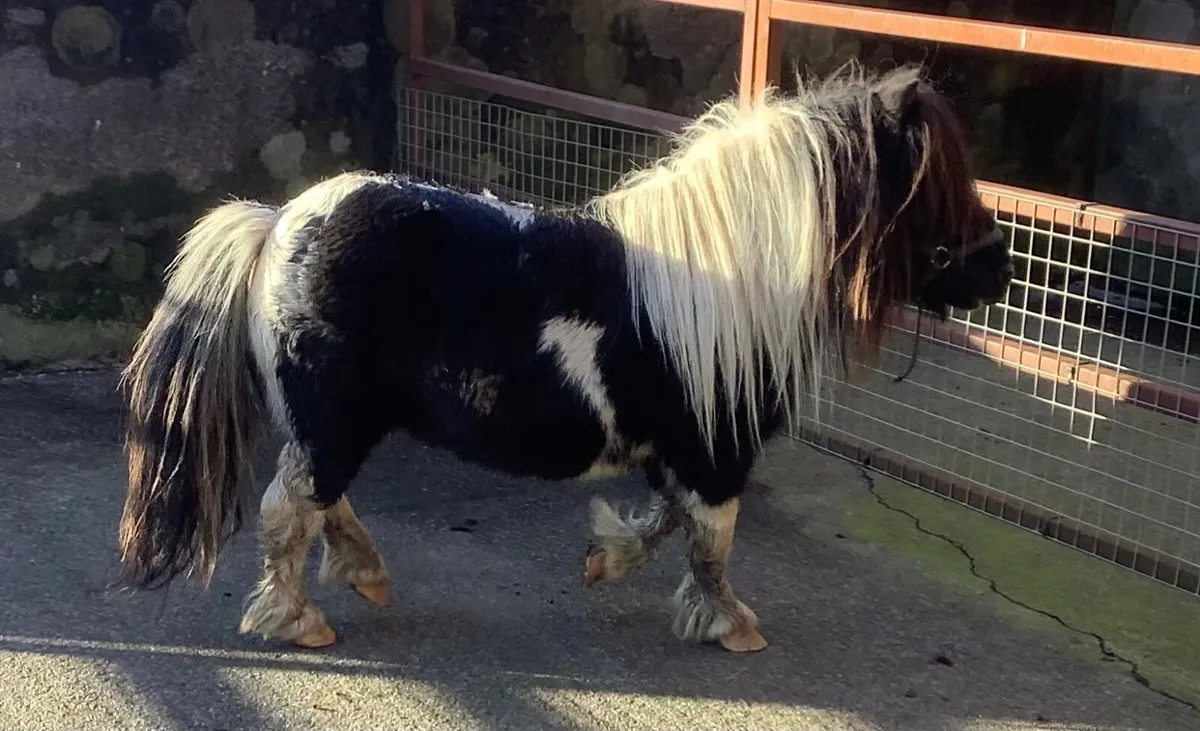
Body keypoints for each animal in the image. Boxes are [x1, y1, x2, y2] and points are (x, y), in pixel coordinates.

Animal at [114, 64, 1014, 654]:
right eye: (936, 184)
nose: (999, 271)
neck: (736, 276)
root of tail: (278, 223)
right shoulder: (715, 450)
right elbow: (710, 539)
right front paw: (731, 624)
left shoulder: (679, 450)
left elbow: (668, 523)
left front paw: (607, 558)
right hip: (330, 423)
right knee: (288, 512)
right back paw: (299, 618)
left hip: (337, 427)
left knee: (320, 505)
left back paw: (364, 572)